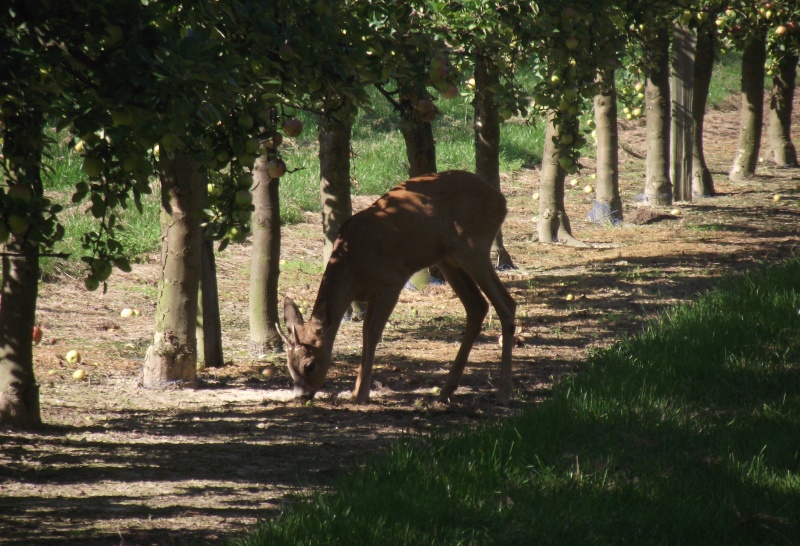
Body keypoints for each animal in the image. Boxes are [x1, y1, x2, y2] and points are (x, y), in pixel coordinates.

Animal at [278, 170, 520, 404]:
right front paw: (356, 392)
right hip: (448, 258)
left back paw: (504, 392)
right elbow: (365, 333)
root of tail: (501, 201)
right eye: (289, 366)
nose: (301, 396)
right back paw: (446, 390)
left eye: (310, 365)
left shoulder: (391, 282)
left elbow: (373, 333)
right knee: (477, 306)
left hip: (472, 246)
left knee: (507, 303)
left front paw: (362, 395)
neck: (352, 267)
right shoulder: (371, 295)